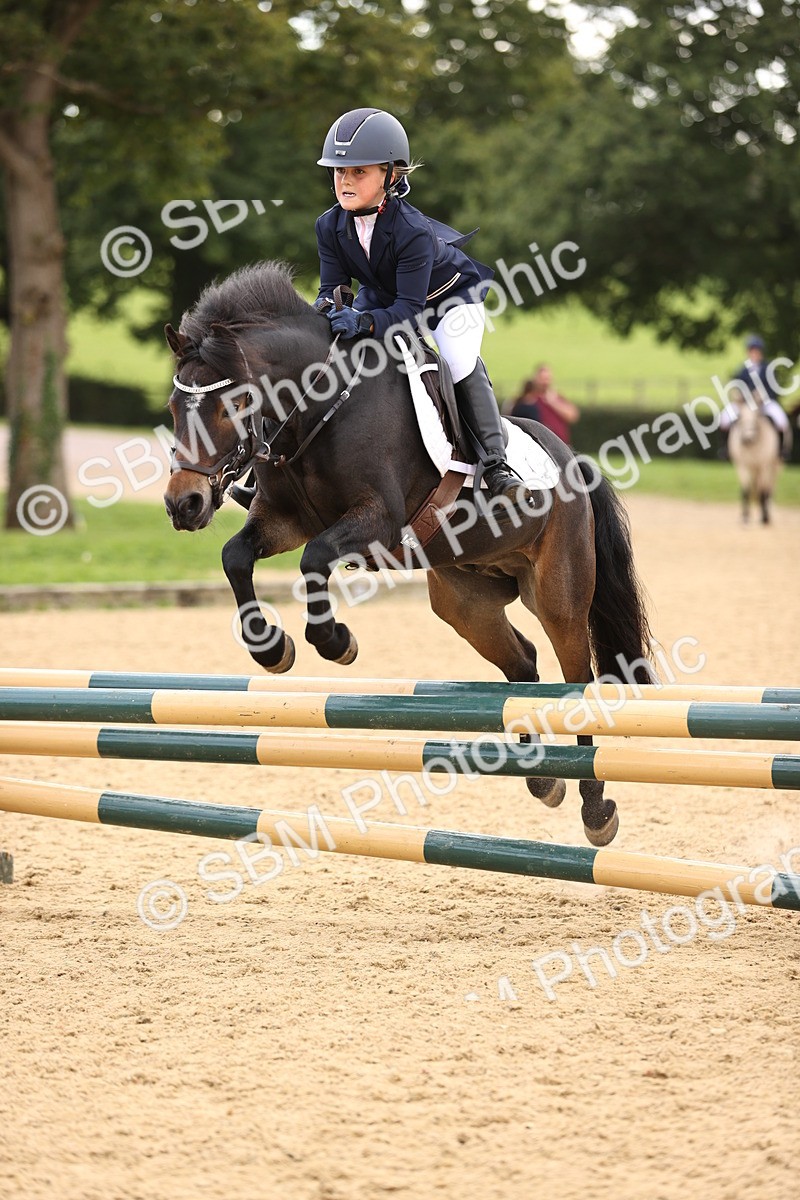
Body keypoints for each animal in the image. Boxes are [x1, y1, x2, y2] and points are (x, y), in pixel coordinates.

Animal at [163, 261, 653, 847]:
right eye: (173, 408)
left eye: (234, 404)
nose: (184, 504)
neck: (319, 408)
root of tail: (571, 459)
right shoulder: (283, 520)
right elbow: (236, 557)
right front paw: (272, 649)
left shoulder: (375, 519)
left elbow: (313, 560)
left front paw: (335, 642)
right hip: (465, 602)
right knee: (523, 665)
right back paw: (542, 779)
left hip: (560, 596)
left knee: (577, 683)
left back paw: (595, 809)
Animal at [728, 392, 782, 524]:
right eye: (740, 417)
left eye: (757, 416)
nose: (748, 438)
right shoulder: (742, 466)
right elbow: (746, 490)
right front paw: (745, 517)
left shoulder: (764, 466)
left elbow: (763, 491)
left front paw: (764, 518)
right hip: (755, 469)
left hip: (775, 466)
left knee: (769, 489)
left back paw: (767, 513)